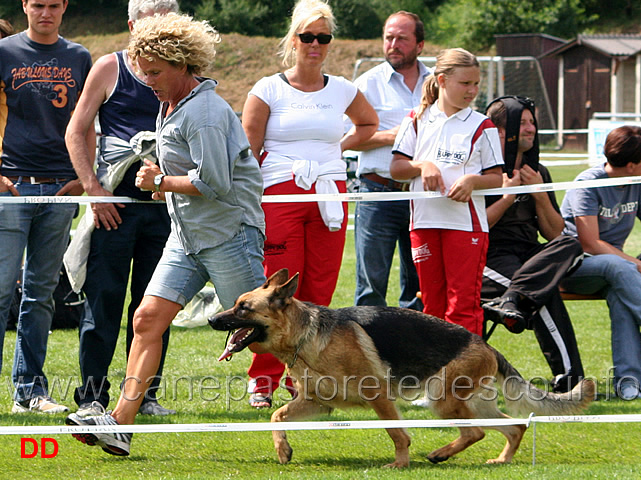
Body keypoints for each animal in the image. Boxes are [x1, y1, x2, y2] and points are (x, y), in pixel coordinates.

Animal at [211, 272, 596, 466]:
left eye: (243, 308)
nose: (214, 320)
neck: (306, 336)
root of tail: (487, 345)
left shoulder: (379, 398)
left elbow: (398, 434)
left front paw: (399, 464)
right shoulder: (318, 404)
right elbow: (275, 416)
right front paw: (283, 450)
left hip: (442, 400)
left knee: (476, 432)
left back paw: (441, 454)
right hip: (471, 404)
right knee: (513, 426)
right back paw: (500, 460)